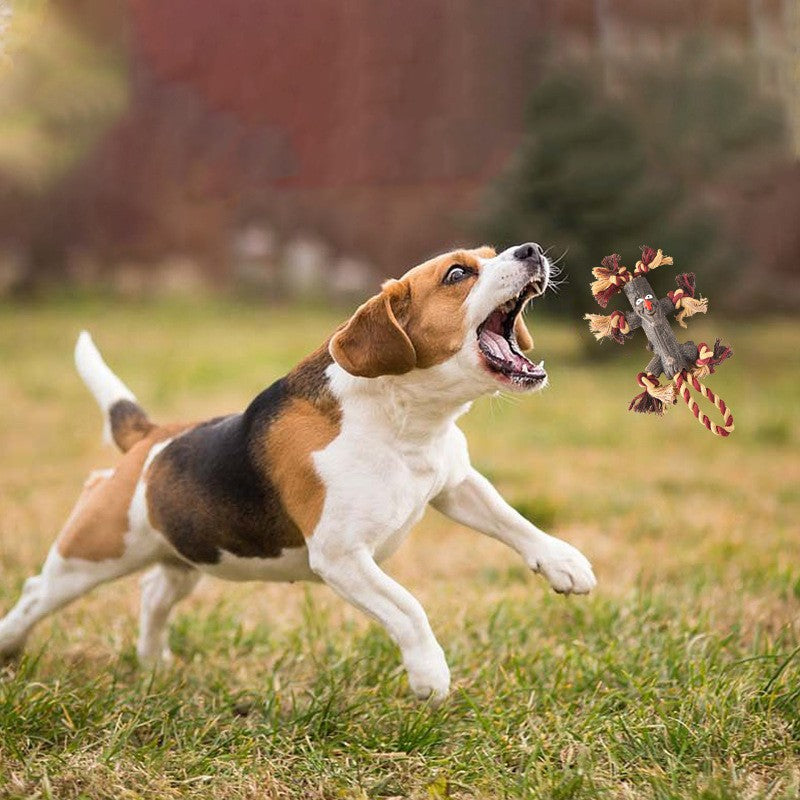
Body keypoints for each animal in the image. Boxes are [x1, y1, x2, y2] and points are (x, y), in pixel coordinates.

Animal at [1, 242, 592, 700]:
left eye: (492, 255)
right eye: (457, 274)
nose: (531, 250)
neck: (405, 420)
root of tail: (150, 438)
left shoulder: (455, 484)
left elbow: (513, 521)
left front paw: (564, 563)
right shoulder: (342, 557)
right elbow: (409, 607)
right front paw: (430, 674)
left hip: (186, 557)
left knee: (152, 594)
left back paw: (152, 663)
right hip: (90, 554)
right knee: (35, 593)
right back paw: (11, 645)